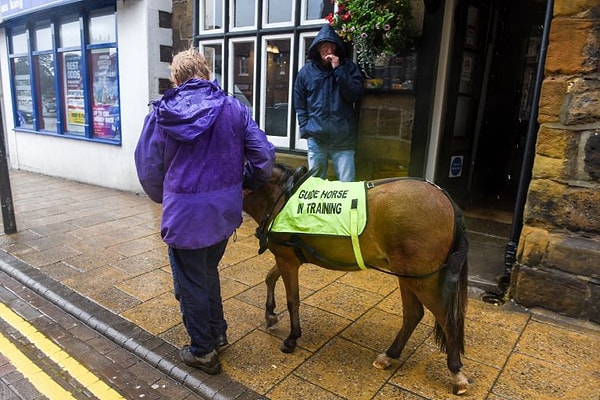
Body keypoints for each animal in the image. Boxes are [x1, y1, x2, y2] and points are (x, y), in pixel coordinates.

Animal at [241, 162, 472, 394]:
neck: (281, 197)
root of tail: (448, 202)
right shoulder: (286, 257)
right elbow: (270, 278)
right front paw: (270, 314)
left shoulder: (287, 260)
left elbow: (292, 300)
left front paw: (292, 338)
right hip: (408, 275)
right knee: (413, 314)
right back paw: (390, 355)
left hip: (421, 280)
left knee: (446, 319)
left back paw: (456, 372)